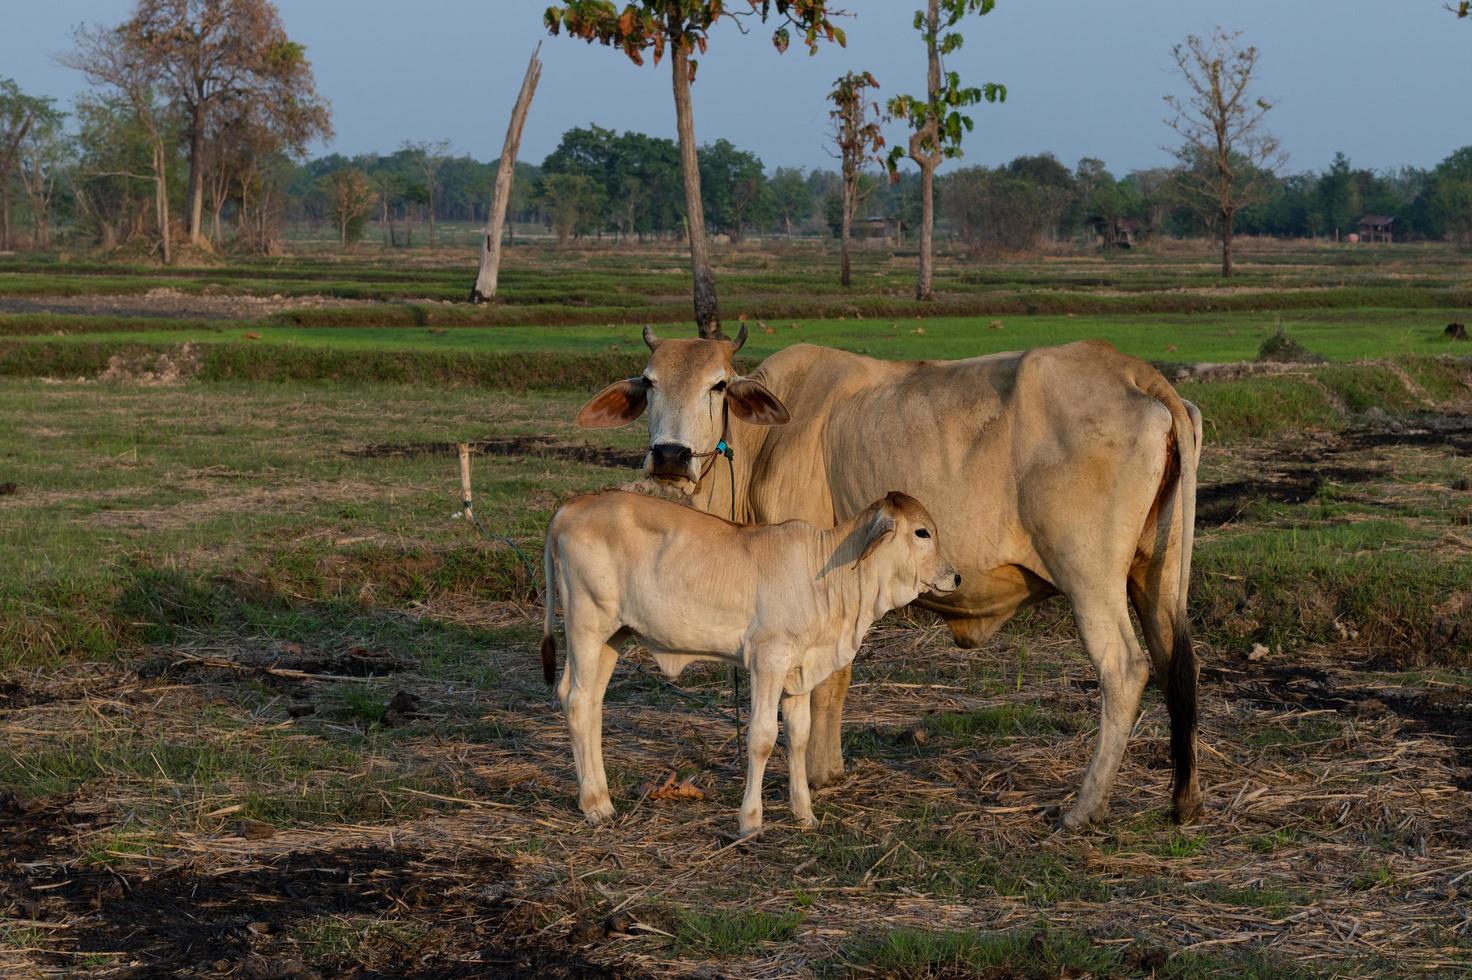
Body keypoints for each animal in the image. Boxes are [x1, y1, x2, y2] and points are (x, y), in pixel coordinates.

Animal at [568, 326, 1201, 824]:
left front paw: (818, 774)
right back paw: (1182, 799)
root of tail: (1139, 374)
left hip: (1091, 579)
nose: (670, 456)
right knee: (1176, 662)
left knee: (1125, 669)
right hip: (1159, 573)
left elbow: (825, 684)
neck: (768, 439)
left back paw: (1083, 807)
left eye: (718, 384)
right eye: (650, 382)